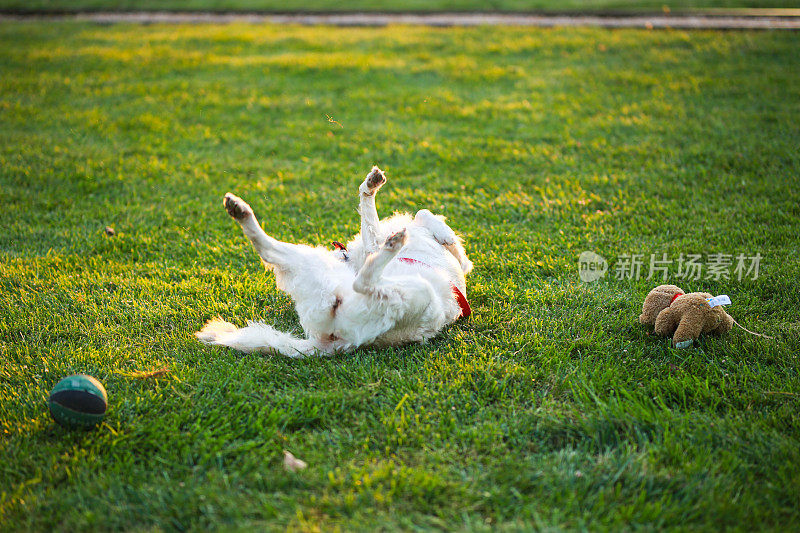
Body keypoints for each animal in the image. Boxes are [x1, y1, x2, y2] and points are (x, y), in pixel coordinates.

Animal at [195, 166, 472, 358]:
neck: (354, 259)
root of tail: (333, 342)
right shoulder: (374, 242)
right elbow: (422, 216)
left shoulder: (373, 244)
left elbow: (424, 218)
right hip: (412, 292)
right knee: (362, 281)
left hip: (314, 268)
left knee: (268, 250)